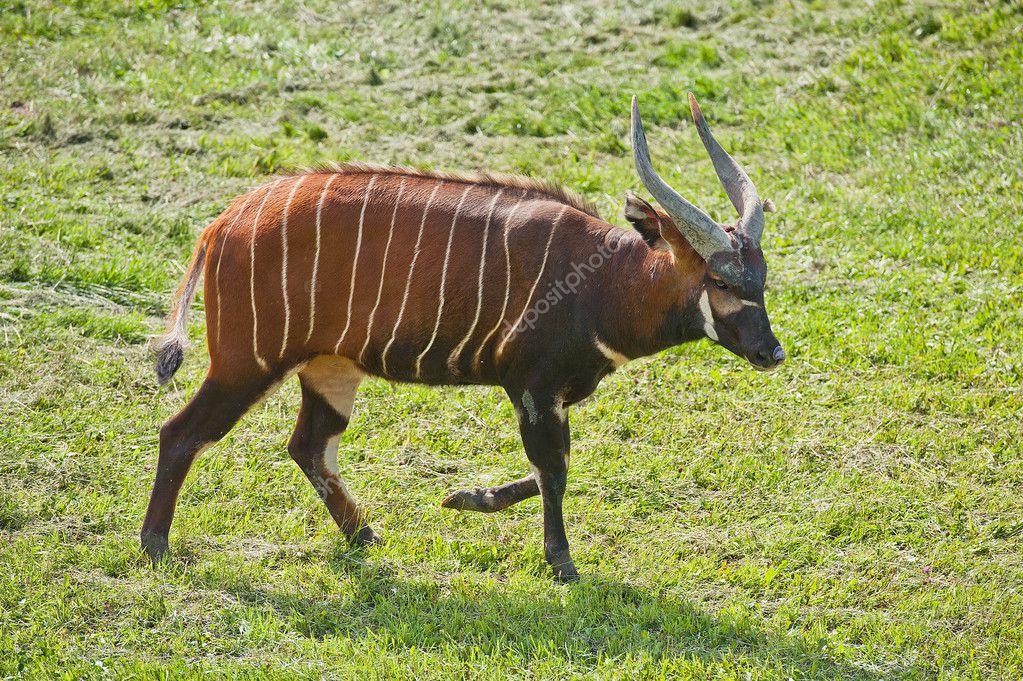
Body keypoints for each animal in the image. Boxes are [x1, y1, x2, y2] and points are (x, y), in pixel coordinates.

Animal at [143, 93, 784, 581]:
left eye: (761, 276)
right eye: (721, 279)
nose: (771, 352)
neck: (602, 278)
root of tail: (220, 225)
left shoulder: (554, 397)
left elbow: (553, 466)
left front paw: (463, 497)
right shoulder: (532, 387)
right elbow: (553, 469)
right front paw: (562, 564)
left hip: (331, 368)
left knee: (308, 444)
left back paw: (365, 534)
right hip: (245, 364)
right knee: (182, 432)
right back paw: (154, 545)